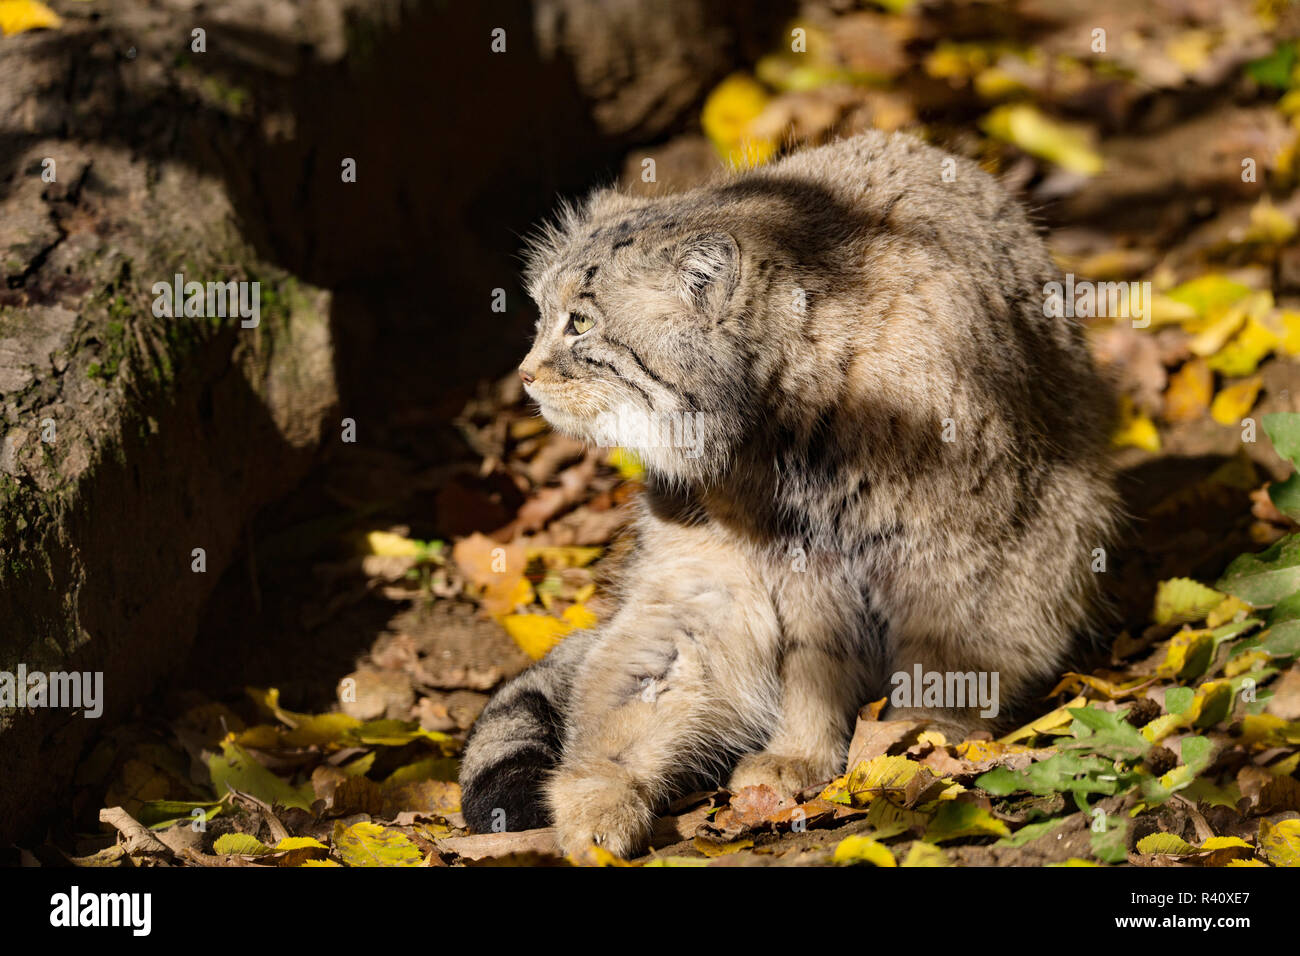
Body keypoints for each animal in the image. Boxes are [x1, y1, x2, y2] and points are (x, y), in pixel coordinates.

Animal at [457, 130, 1118, 858]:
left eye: (578, 324)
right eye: (542, 316)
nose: (523, 375)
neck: (791, 418)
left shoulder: (962, 543)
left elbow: (943, 660)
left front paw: (922, 744)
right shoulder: (792, 563)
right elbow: (812, 667)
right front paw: (804, 755)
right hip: (694, 594)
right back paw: (596, 809)